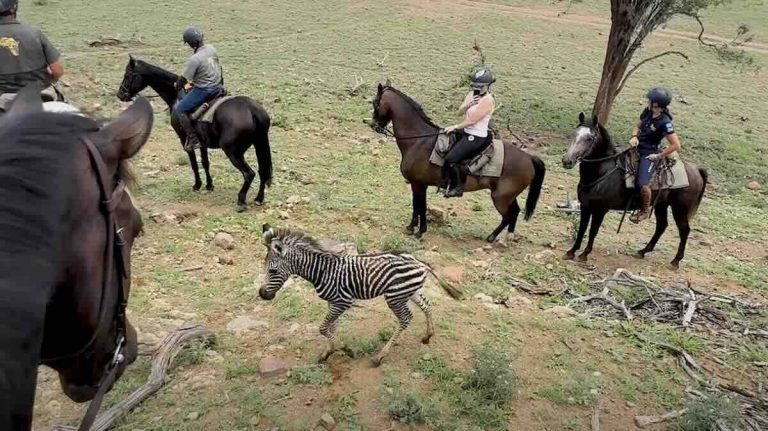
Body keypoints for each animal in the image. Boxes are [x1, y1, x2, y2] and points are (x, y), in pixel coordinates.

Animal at [116, 56, 273, 212]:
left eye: (127, 75)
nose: (120, 95)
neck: (176, 96)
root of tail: (252, 110)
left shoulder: (184, 139)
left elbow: (194, 163)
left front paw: (197, 185)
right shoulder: (202, 142)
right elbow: (205, 162)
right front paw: (209, 185)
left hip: (233, 151)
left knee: (249, 173)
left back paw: (241, 200)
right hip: (258, 145)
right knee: (262, 171)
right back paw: (259, 199)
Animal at [258, 224, 463, 366]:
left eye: (273, 270)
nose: (262, 294)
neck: (321, 271)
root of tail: (419, 262)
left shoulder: (343, 302)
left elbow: (323, 328)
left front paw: (344, 349)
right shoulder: (333, 302)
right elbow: (331, 327)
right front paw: (328, 352)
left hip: (395, 296)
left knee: (405, 319)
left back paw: (380, 356)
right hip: (410, 291)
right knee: (426, 305)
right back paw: (428, 336)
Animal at [370, 84, 546, 242]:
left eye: (375, 103)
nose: (374, 126)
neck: (419, 141)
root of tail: (529, 157)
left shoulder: (419, 184)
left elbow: (421, 206)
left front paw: (420, 231)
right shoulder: (416, 184)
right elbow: (416, 205)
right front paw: (411, 228)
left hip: (500, 198)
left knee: (509, 215)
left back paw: (494, 236)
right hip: (507, 196)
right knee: (514, 212)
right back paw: (502, 236)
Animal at [562, 112, 708, 268]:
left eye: (589, 138)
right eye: (574, 134)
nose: (567, 161)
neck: (603, 172)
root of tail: (696, 170)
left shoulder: (600, 210)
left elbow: (592, 231)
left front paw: (584, 254)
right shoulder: (585, 206)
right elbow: (582, 229)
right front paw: (571, 252)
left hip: (680, 210)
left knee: (684, 230)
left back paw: (676, 260)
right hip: (661, 205)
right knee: (662, 226)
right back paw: (643, 251)